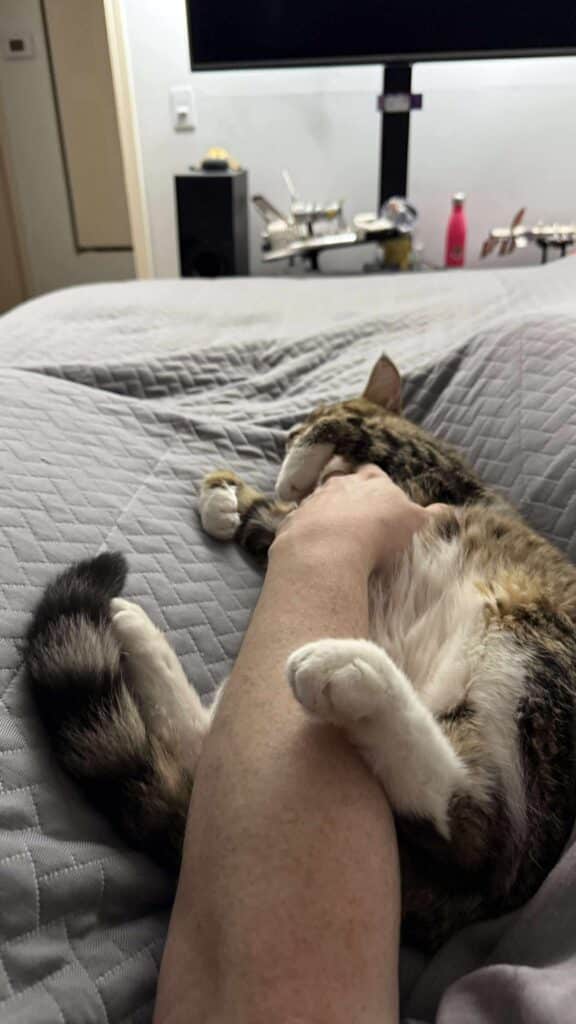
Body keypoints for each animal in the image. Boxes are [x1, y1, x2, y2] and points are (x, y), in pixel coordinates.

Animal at [24, 355, 576, 951]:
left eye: (302, 420)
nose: (285, 435)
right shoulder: (298, 522)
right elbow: (276, 515)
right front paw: (224, 493)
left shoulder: (422, 466)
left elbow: (346, 431)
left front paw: (283, 469)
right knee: (211, 747)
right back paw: (137, 632)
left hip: (527, 648)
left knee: (476, 834)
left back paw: (356, 677)